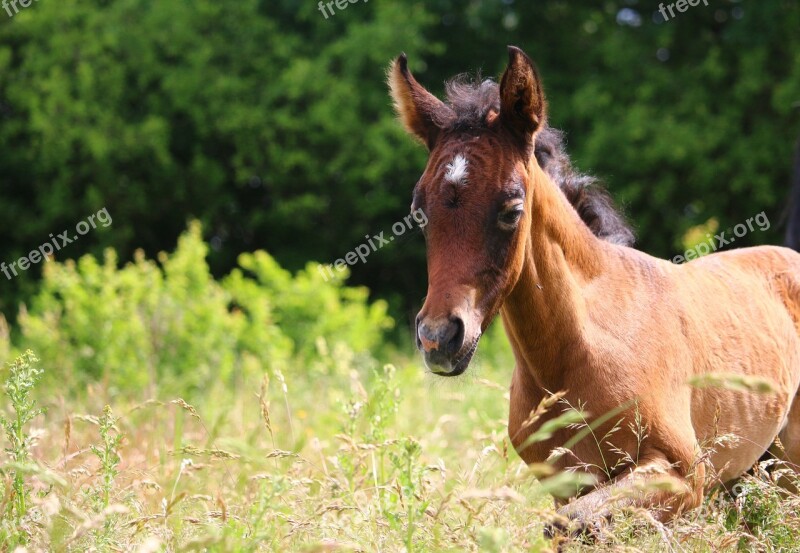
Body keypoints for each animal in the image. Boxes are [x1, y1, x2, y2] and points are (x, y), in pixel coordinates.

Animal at [390, 46, 800, 532]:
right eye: (419, 210)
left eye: (512, 208)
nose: (439, 338)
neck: (575, 352)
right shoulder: (567, 485)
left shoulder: (684, 475)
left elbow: (573, 524)